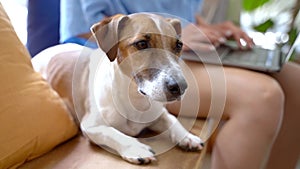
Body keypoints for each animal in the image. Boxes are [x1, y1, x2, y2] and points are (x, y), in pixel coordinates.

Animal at [32, 13, 204, 165]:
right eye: (142, 44)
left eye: (179, 45)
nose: (180, 87)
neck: (135, 99)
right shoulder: (91, 126)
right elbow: (113, 133)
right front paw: (135, 148)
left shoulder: (158, 113)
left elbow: (172, 119)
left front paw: (187, 136)